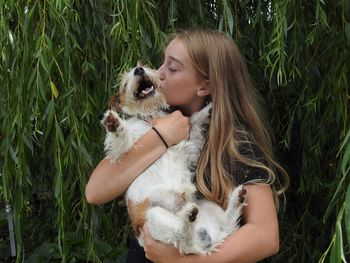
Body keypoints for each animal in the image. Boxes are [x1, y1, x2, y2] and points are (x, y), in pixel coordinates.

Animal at [100, 64, 246, 256]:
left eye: (142, 66)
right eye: (125, 84)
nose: (139, 70)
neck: (151, 117)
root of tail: (208, 241)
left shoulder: (187, 145)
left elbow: (194, 122)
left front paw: (208, 109)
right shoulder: (124, 150)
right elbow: (121, 138)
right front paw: (114, 123)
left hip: (208, 206)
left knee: (223, 226)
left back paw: (235, 200)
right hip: (154, 216)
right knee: (184, 241)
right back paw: (188, 218)